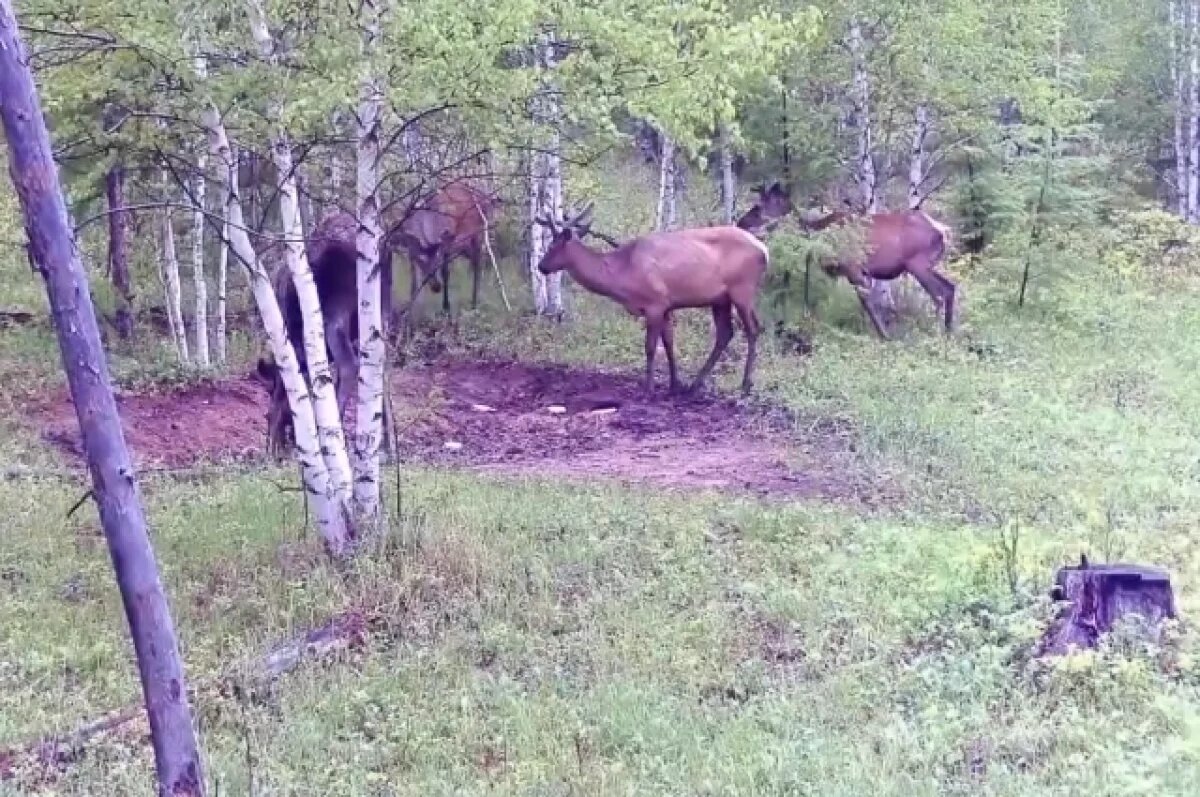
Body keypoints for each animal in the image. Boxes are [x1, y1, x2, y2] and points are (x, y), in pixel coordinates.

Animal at [393, 179, 500, 314]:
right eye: (420, 260)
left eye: (437, 260)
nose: (436, 287)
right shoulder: (411, 251)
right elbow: (413, 280)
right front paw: (410, 309)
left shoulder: (447, 243)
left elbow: (445, 273)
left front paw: (446, 307)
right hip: (464, 245)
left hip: (478, 233)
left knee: (478, 263)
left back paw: (474, 303)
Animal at [535, 203, 770, 396]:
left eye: (553, 246)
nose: (541, 266)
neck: (623, 273)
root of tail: (764, 251)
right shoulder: (667, 306)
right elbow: (669, 344)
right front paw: (674, 385)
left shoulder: (655, 303)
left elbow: (650, 347)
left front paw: (648, 389)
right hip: (720, 299)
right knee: (725, 333)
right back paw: (695, 385)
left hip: (742, 289)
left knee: (753, 329)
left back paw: (745, 385)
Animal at [745, 184, 955, 339]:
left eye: (759, 207)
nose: (742, 222)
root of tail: (943, 231)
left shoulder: (853, 268)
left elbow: (866, 302)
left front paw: (883, 335)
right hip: (928, 265)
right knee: (951, 288)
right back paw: (949, 334)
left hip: (917, 264)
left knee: (938, 295)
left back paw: (936, 334)